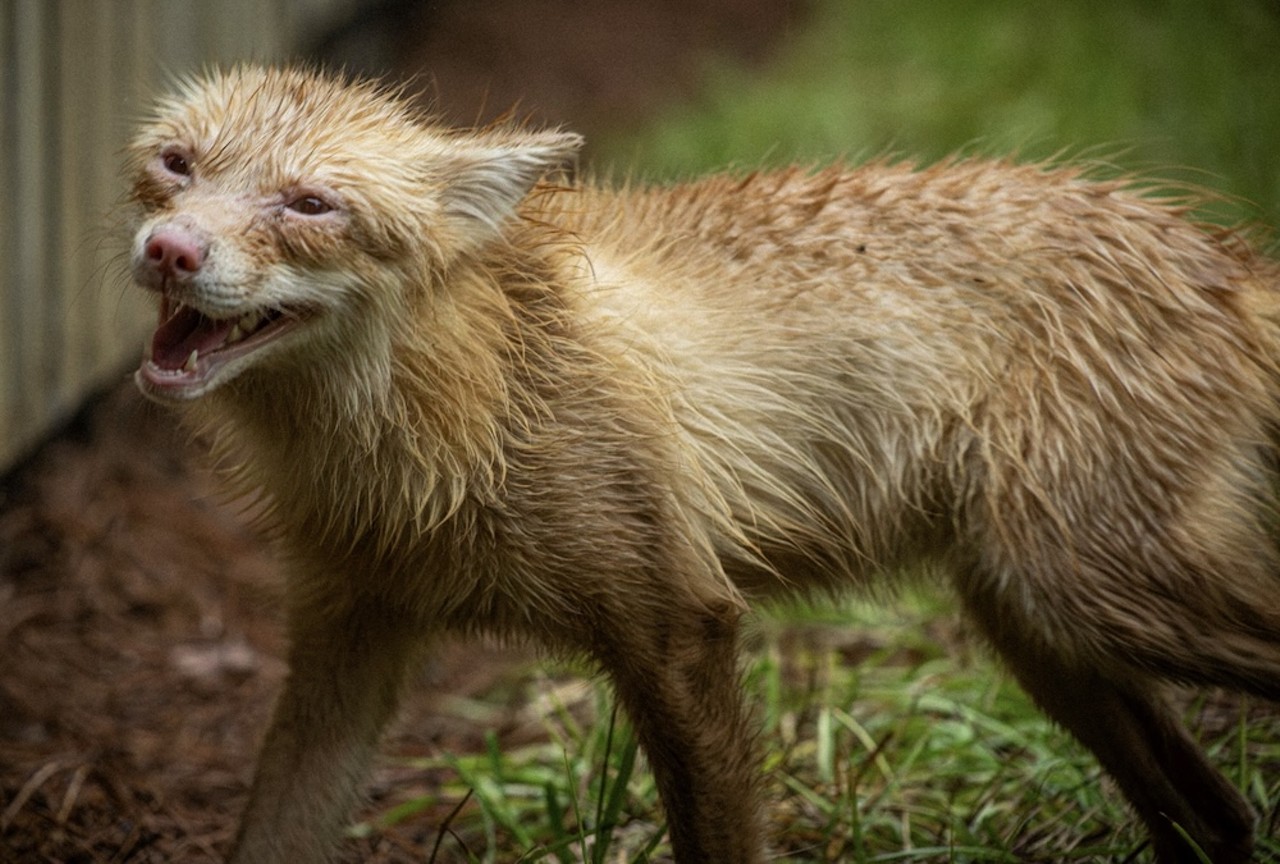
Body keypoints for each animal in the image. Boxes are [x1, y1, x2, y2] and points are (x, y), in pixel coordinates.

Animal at [124, 65, 1280, 864]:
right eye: (177, 164)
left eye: (310, 204)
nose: (170, 250)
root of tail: (1223, 257)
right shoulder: (346, 636)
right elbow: (271, 833)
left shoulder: (676, 622)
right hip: (1040, 633)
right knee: (1218, 818)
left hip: (1094, 598)